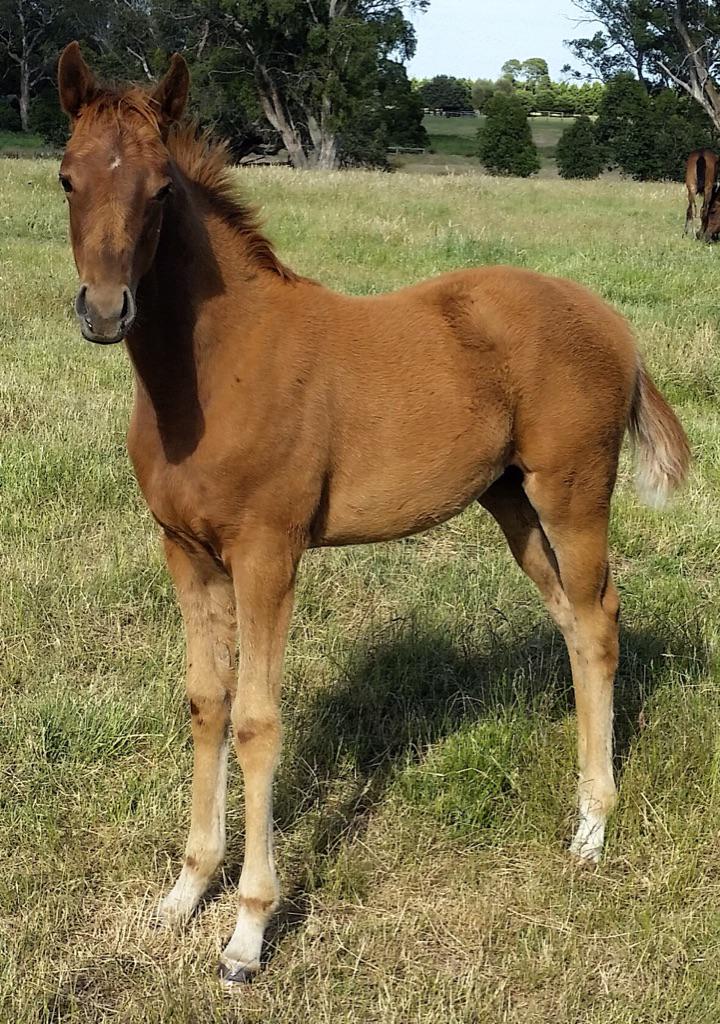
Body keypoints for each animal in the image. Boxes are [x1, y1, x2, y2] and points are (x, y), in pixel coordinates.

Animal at [56, 43, 690, 984]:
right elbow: (206, 702)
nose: (105, 311)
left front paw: (247, 933)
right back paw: (585, 811)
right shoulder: (183, 549)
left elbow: (256, 720)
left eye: (162, 189)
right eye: (66, 178)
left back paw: (594, 828)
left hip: (571, 494)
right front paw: (183, 892)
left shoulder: (268, 553)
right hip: (510, 502)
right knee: (577, 627)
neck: (213, 368)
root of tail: (616, 323)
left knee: (602, 621)